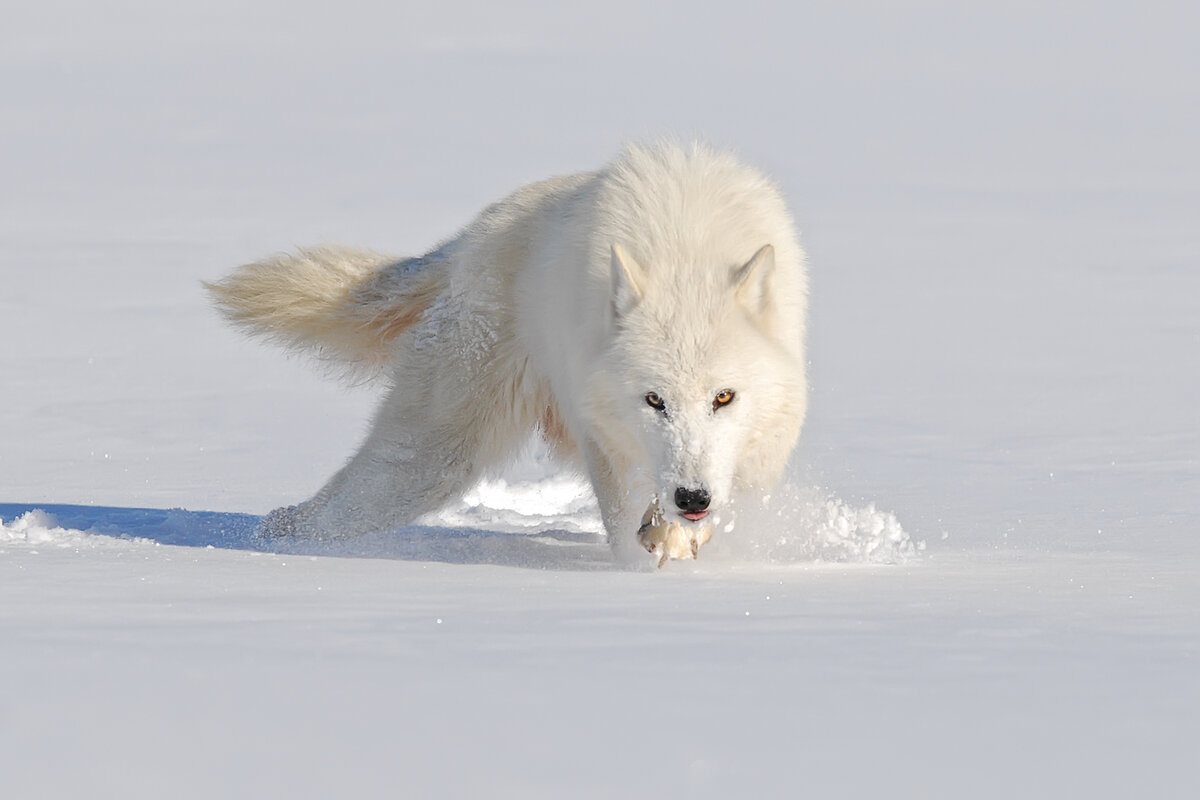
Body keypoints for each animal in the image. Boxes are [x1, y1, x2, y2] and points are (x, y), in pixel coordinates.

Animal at [206, 142, 811, 568]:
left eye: (724, 397)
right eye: (654, 400)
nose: (692, 496)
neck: (685, 251)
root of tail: (469, 238)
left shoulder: (754, 453)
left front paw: (679, 536)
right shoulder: (602, 433)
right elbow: (627, 521)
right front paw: (654, 552)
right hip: (433, 461)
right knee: (336, 508)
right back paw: (273, 543)